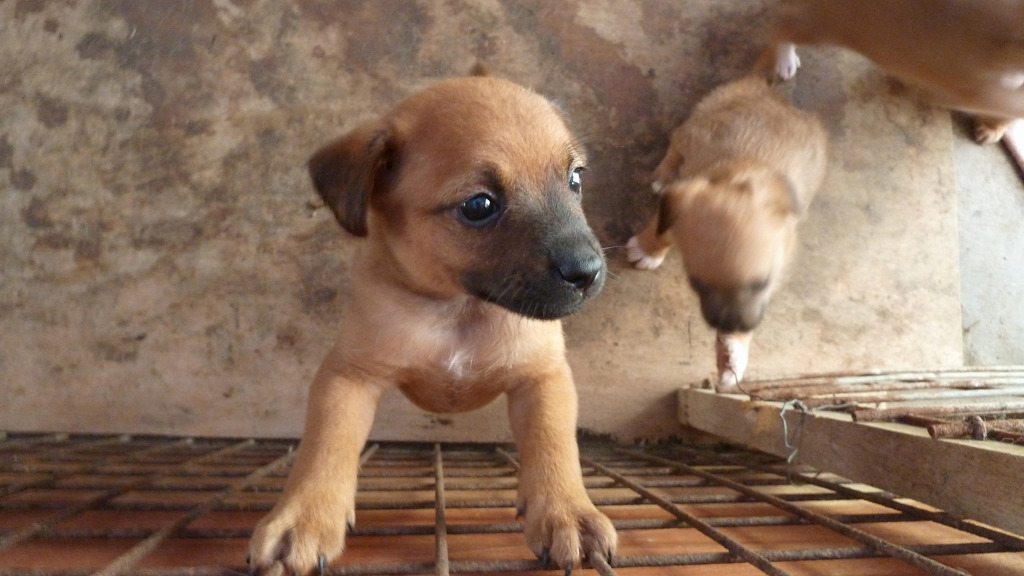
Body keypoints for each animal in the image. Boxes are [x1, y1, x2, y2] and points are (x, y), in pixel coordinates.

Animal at [248, 74, 616, 574]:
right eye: (479, 205)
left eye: (574, 179)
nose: (587, 271)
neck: (459, 310)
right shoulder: (347, 377)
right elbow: (325, 445)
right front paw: (302, 515)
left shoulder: (544, 377)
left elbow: (553, 442)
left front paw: (567, 512)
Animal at [626, 76, 827, 386]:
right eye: (696, 284)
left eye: (761, 283)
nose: (730, 326)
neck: (742, 177)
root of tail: (768, 91)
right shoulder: (683, 202)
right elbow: (662, 230)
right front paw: (647, 249)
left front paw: (734, 353)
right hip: (697, 128)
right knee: (676, 141)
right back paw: (664, 174)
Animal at [765, 0, 1024, 144]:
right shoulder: (973, 84)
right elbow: (1008, 104)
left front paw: (992, 128)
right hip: (824, 26)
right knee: (782, 23)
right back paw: (784, 61)